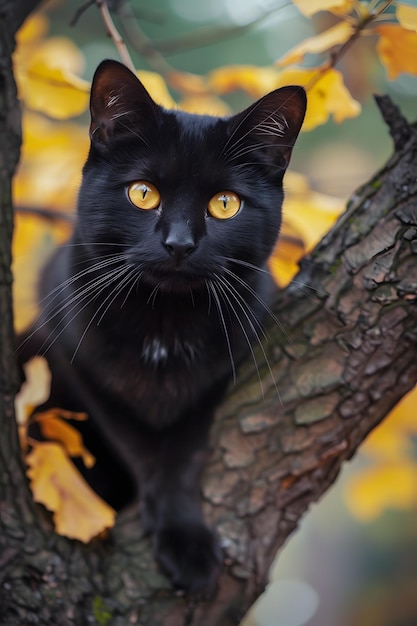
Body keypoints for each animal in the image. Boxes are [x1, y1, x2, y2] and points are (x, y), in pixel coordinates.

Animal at [18, 61, 306, 592]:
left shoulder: (218, 376)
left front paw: (185, 540)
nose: (179, 243)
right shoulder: (81, 366)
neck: (163, 325)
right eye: (143, 194)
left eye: (225, 204)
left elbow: (183, 455)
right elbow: (140, 449)